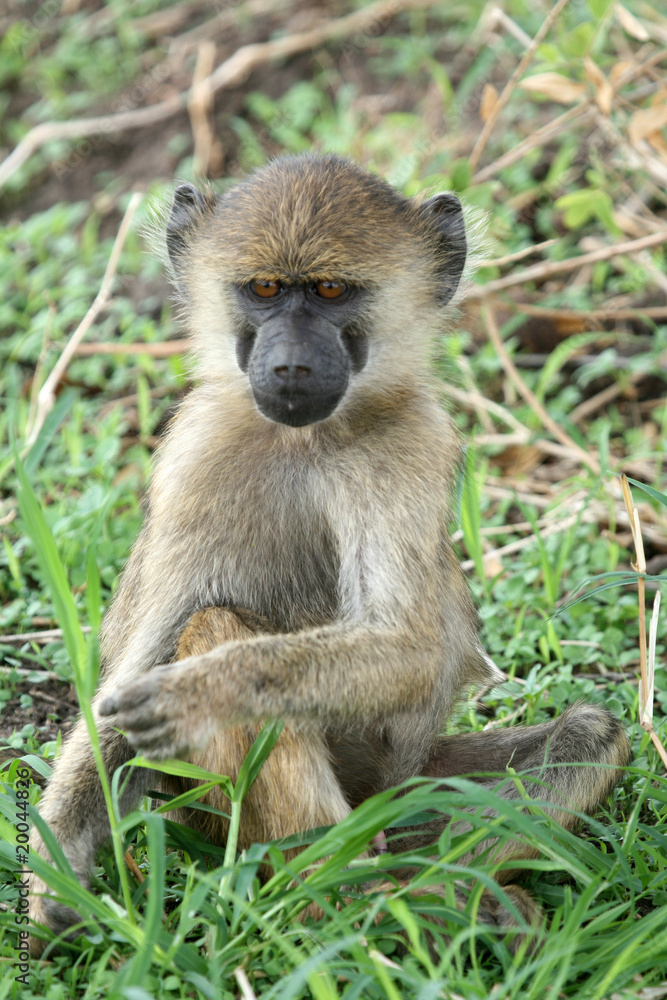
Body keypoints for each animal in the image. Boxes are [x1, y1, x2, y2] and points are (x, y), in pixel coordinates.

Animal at [28, 153, 631, 956]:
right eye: (263, 290)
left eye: (331, 291)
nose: (288, 366)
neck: (302, 439)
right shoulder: (195, 461)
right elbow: (130, 680)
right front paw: (56, 875)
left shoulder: (410, 446)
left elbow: (410, 648)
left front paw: (199, 694)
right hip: (213, 813)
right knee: (211, 625)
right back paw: (350, 904)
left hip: (406, 787)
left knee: (588, 735)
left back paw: (428, 900)